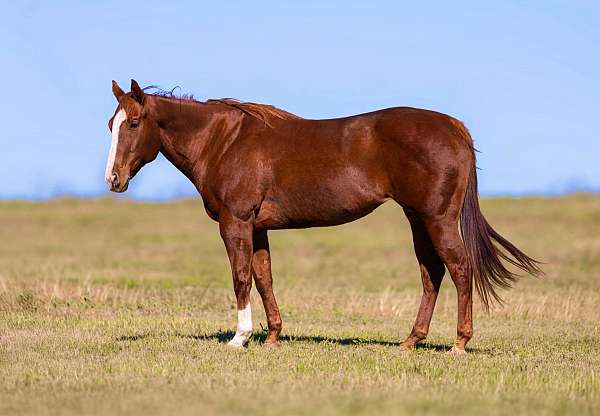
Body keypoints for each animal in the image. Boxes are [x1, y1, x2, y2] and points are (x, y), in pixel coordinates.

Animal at [105, 79, 540, 352]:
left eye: (133, 123)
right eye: (111, 124)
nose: (113, 179)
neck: (224, 142)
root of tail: (454, 127)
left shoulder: (236, 222)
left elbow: (241, 277)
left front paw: (240, 338)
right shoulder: (257, 228)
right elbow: (264, 278)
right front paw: (273, 337)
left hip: (438, 218)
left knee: (460, 268)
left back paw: (459, 342)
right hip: (417, 217)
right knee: (432, 272)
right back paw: (411, 340)